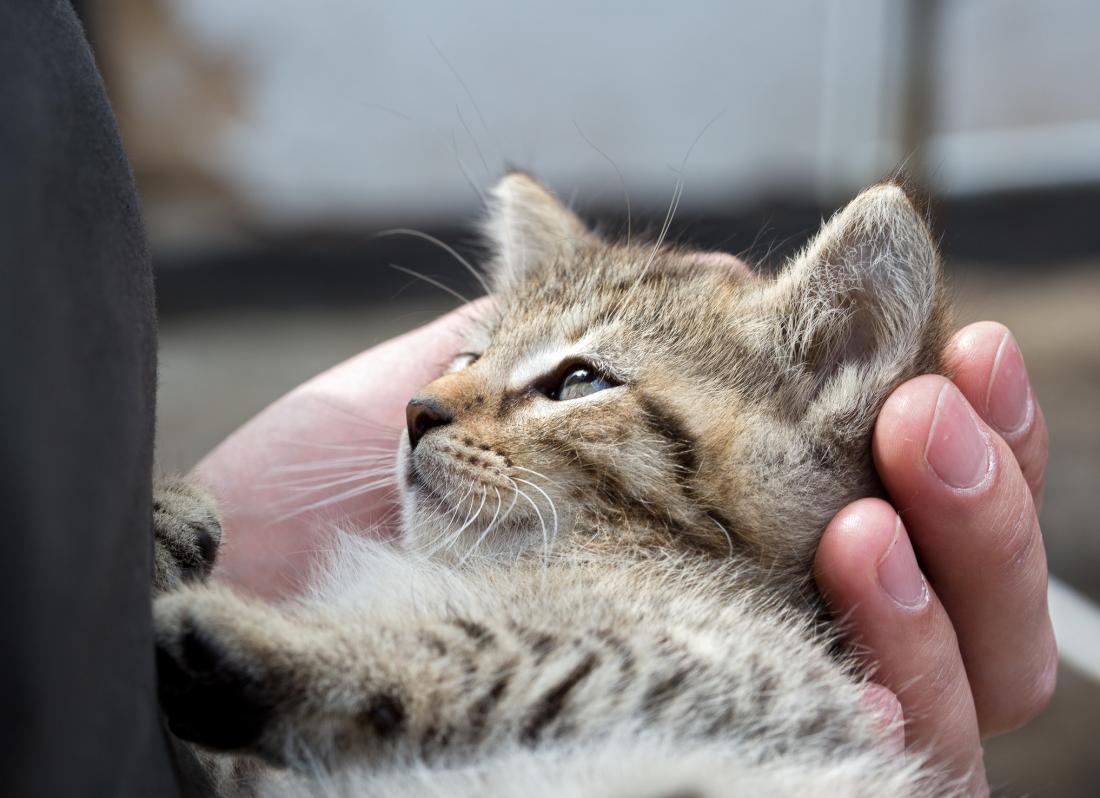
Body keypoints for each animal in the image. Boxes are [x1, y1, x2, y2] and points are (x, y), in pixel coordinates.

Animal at [152, 176, 954, 796]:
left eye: (579, 382)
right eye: (468, 355)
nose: (416, 409)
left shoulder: (749, 679)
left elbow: (492, 654)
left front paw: (263, 645)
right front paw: (166, 517)